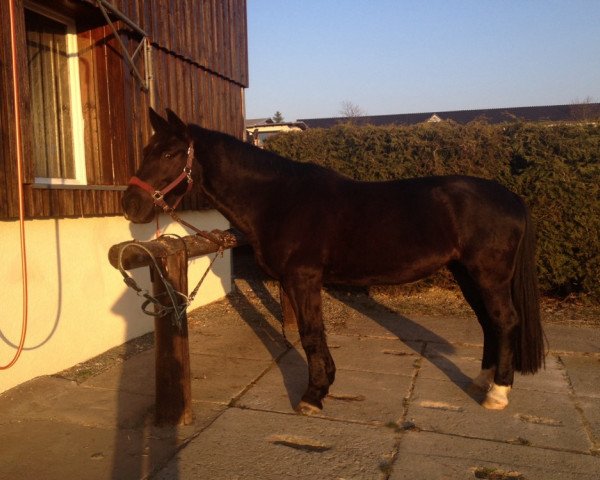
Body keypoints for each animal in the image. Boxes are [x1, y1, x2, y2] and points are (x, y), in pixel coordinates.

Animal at [122, 109, 544, 412]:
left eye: (170, 153)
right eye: (144, 151)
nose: (131, 204)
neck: (279, 199)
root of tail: (511, 198)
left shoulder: (304, 277)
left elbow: (311, 333)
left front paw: (312, 395)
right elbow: (315, 333)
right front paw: (324, 386)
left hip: (487, 275)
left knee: (506, 321)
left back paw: (498, 394)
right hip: (467, 273)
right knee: (490, 323)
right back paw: (483, 381)